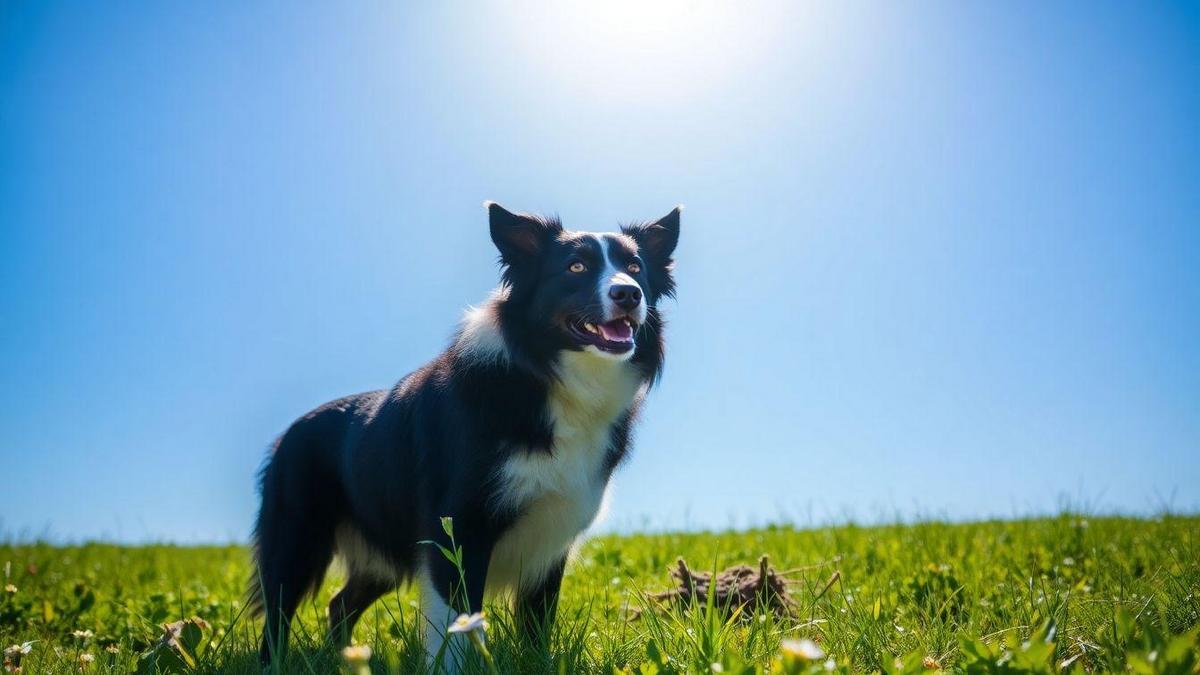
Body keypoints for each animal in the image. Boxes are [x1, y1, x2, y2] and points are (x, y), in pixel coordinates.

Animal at [248, 199, 681, 662]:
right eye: (576, 267)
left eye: (635, 268)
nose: (628, 294)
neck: (548, 379)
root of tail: (287, 433)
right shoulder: (457, 527)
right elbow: (457, 627)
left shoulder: (550, 538)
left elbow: (536, 625)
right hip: (296, 535)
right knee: (278, 609)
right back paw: (273, 663)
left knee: (339, 603)